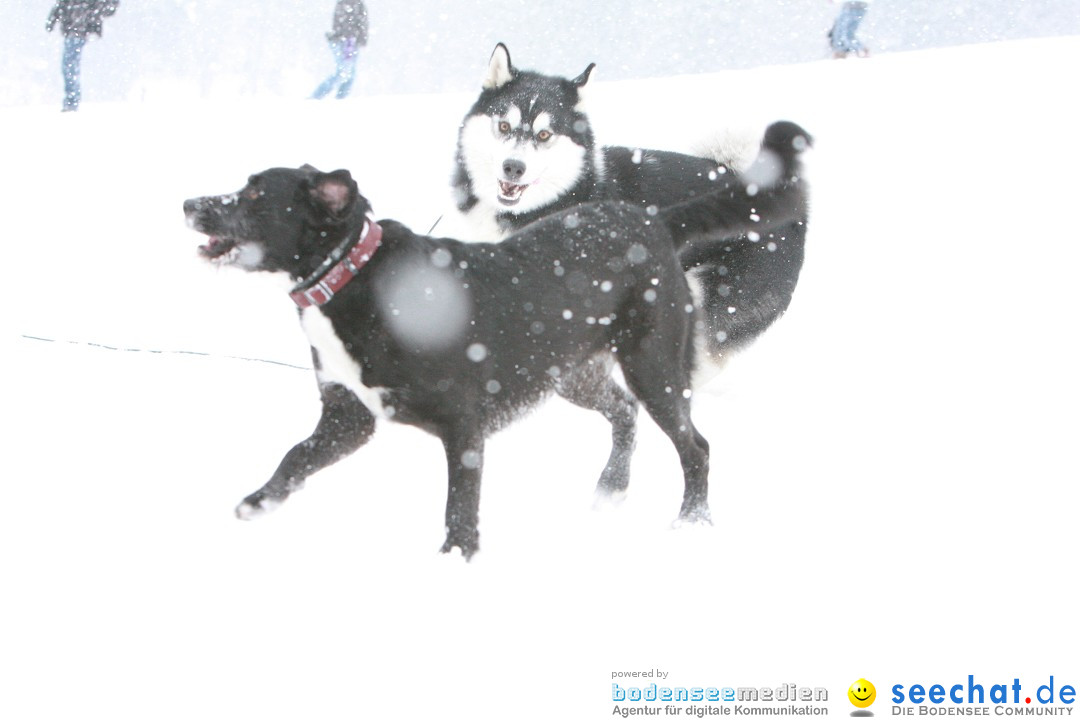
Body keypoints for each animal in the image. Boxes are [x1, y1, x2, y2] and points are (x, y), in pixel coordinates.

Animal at [185, 122, 807, 557]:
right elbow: (294, 457)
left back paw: (691, 522)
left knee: (695, 446)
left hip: (652, 364)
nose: (190, 203)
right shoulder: (349, 415)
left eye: (256, 196)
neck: (354, 275)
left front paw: (456, 564)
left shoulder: (462, 426)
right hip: (569, 373)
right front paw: (256, 505)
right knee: (623, 413)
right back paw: (610, 489)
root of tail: (655, 221)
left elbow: (459, 511)